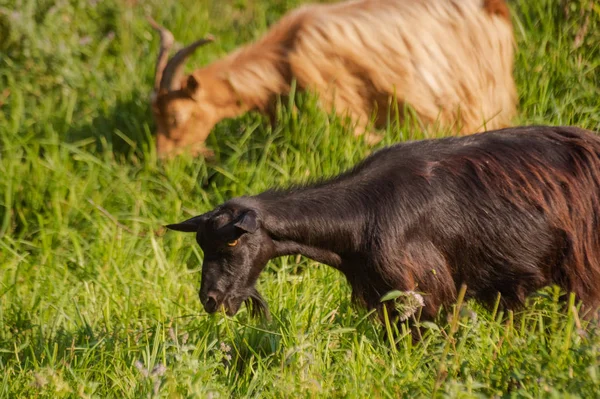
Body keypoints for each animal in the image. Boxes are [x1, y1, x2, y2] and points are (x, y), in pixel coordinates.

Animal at [168, 126, 600, 324]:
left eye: (232, 243)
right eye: (201, 244)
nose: (210, 300)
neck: (362, 215)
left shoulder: (426, 292)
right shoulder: (382, 297)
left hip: (584, 267)